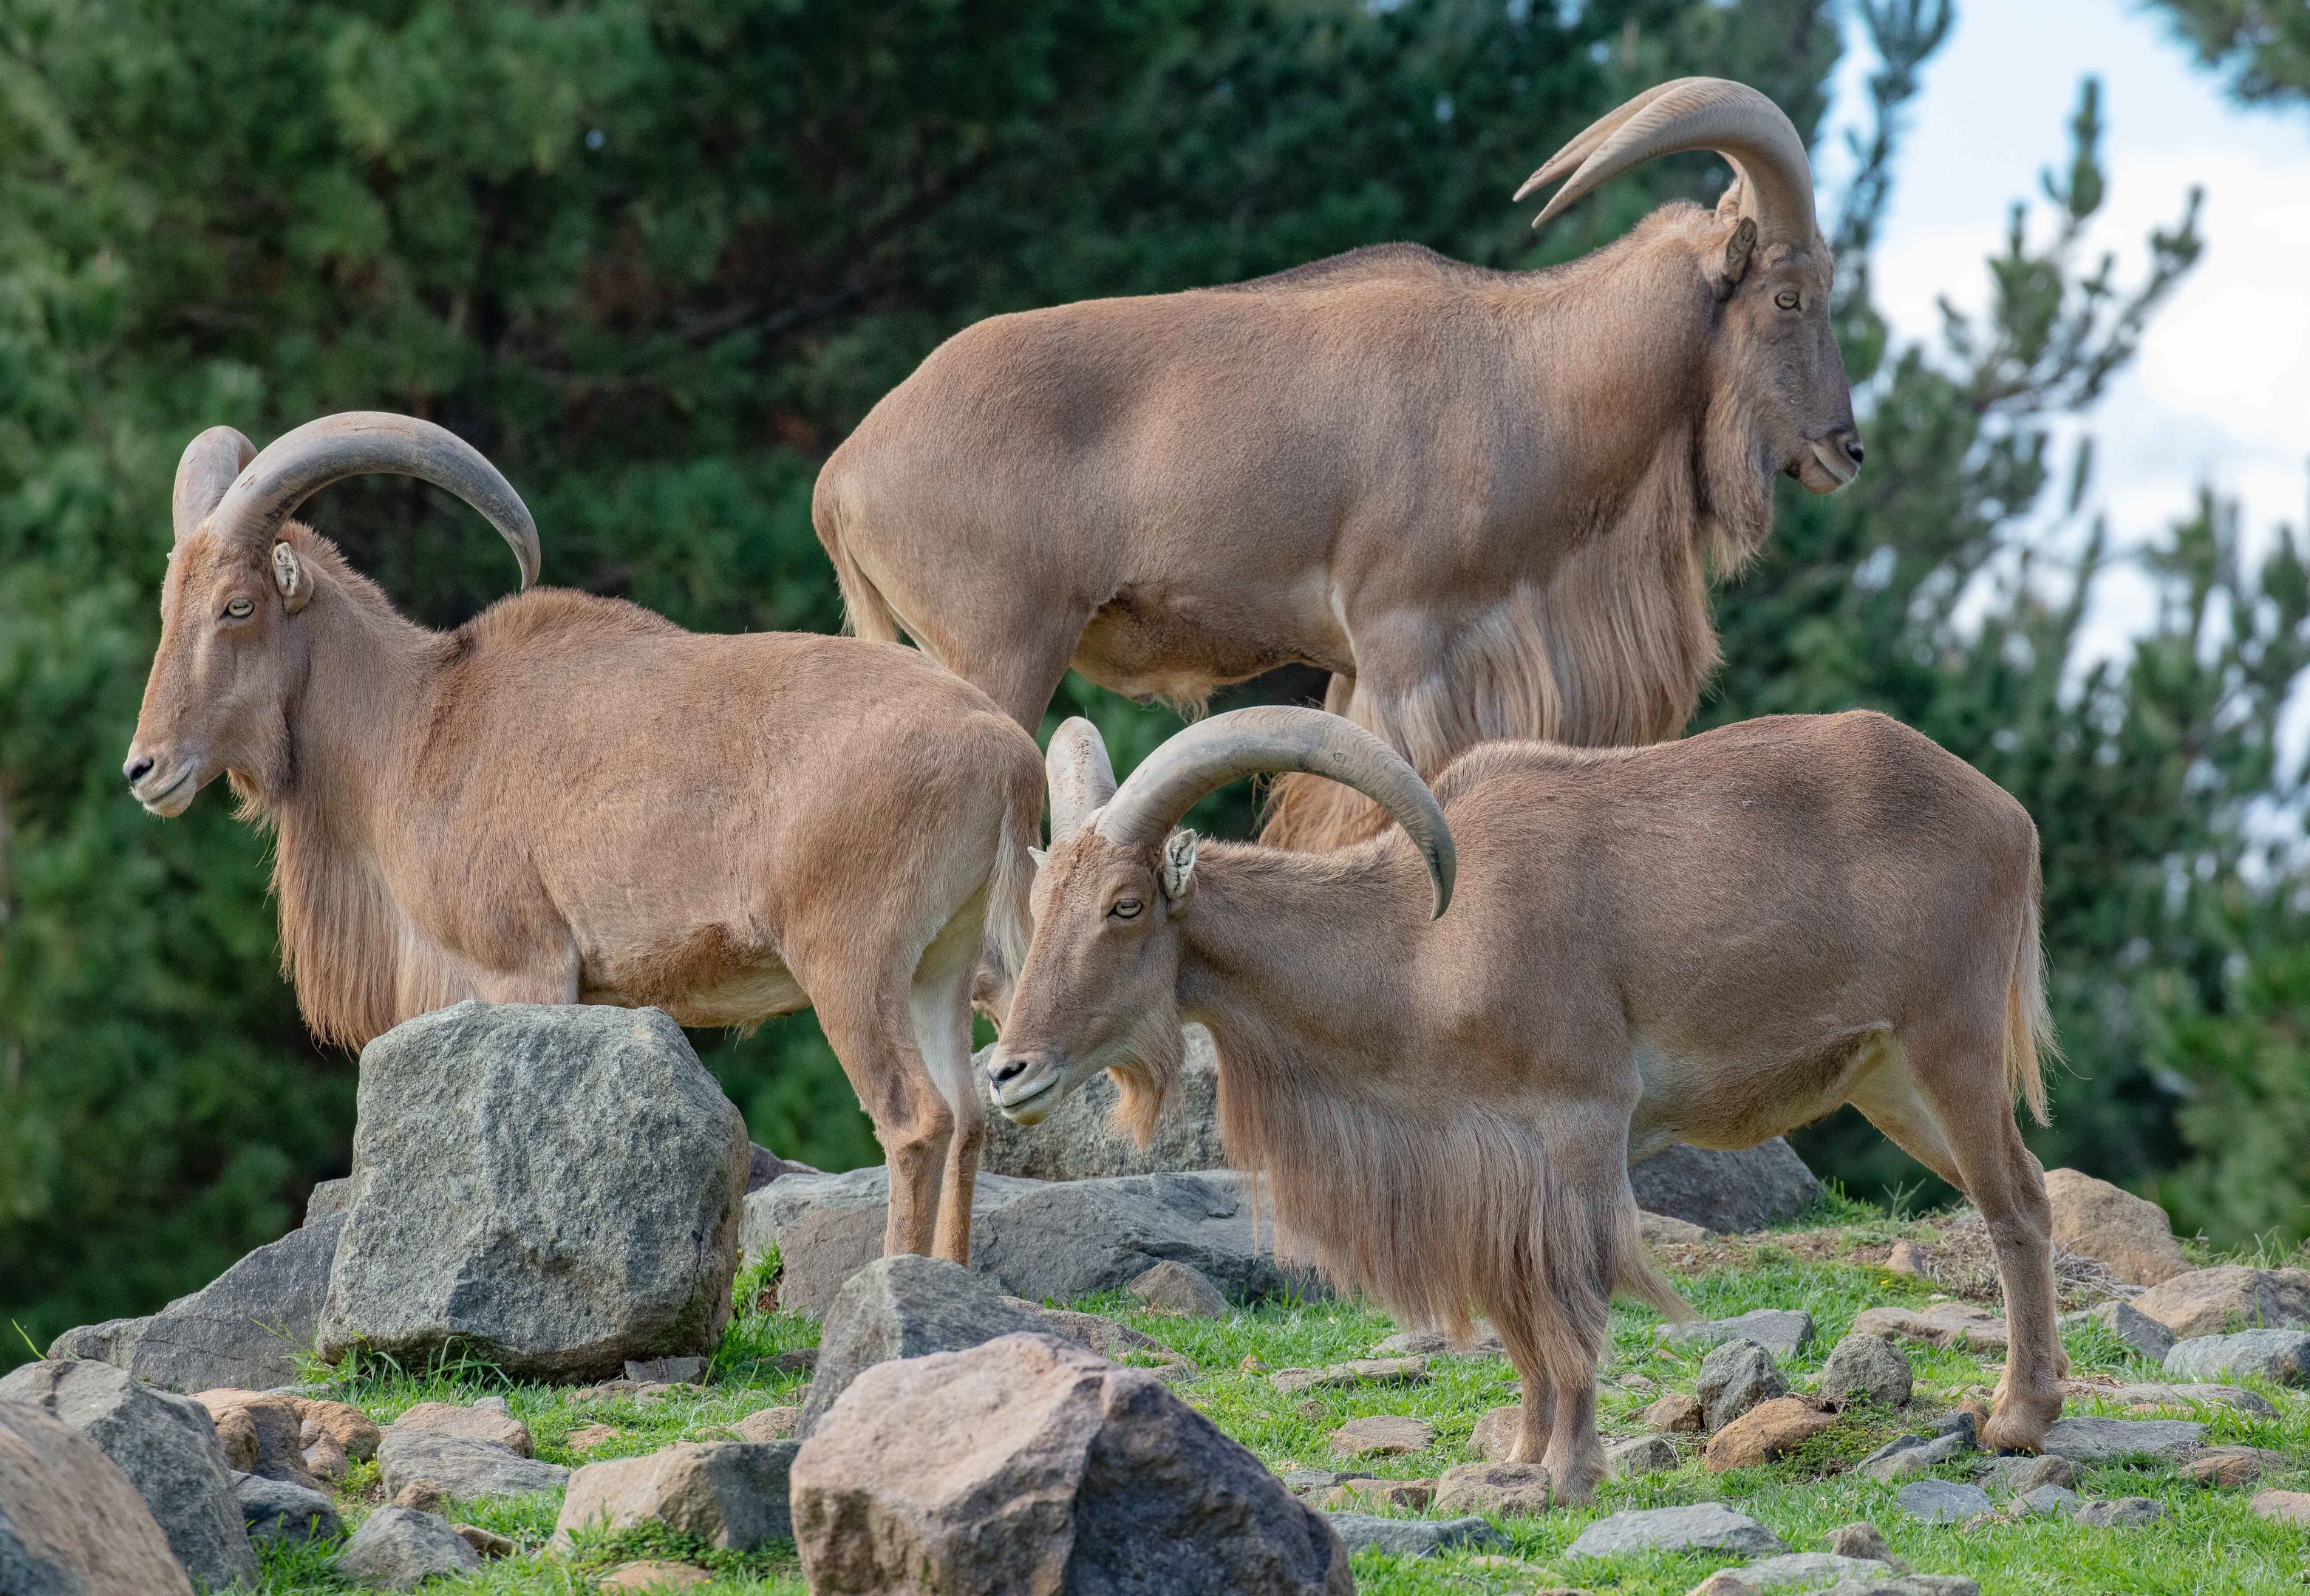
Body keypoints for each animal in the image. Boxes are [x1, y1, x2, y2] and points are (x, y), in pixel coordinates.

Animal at [125, 412, 1045, 1264]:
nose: (144, 768)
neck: (416, 725)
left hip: (851, 965)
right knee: (969, 1116)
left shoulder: (519, 966)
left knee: (915, 1118)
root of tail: (1008, 757)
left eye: (237, 606)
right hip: (939, 966)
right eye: (169, 607)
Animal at [815, 77, 1862, 850]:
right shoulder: (1406, 645)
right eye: (1789, 296)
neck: (1525, 376)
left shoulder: (1363, 670)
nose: (1844, 448)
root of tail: (843, 472)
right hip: (1001, 654)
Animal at [986, 706, 2063, 1501]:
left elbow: (1572, 1301)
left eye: (1126, 906)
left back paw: (2019, 1418)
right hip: (1890, 1083)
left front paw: (1570, 1473)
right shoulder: (1486, 1166)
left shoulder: (1577, 1121)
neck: (1418, 948)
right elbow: (1519, 1316)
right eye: (1040, 907)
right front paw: (1516, 1460)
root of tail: (2009, 815)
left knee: (2016, 1202)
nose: (1009, 1074)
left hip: (1952, 1043)